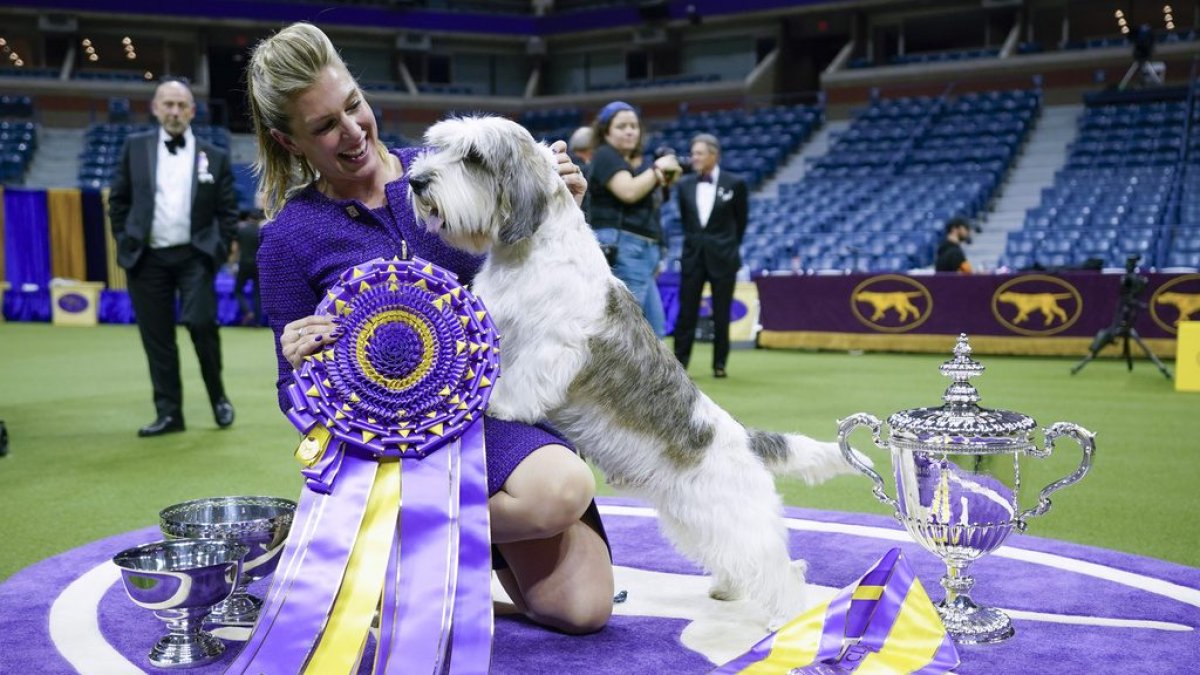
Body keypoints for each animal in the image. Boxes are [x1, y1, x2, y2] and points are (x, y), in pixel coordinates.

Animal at [412, 114, 864, 624]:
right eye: (440, 147)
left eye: (473, 157)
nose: (416, 181)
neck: (529, 253)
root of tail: (746, 439)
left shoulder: (551, 346)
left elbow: (522, 382)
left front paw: (499, 407)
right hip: (691, 516)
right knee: (736, 560)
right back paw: (727, 590)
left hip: (736, 518)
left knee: (781, 571)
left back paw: (787, 621)